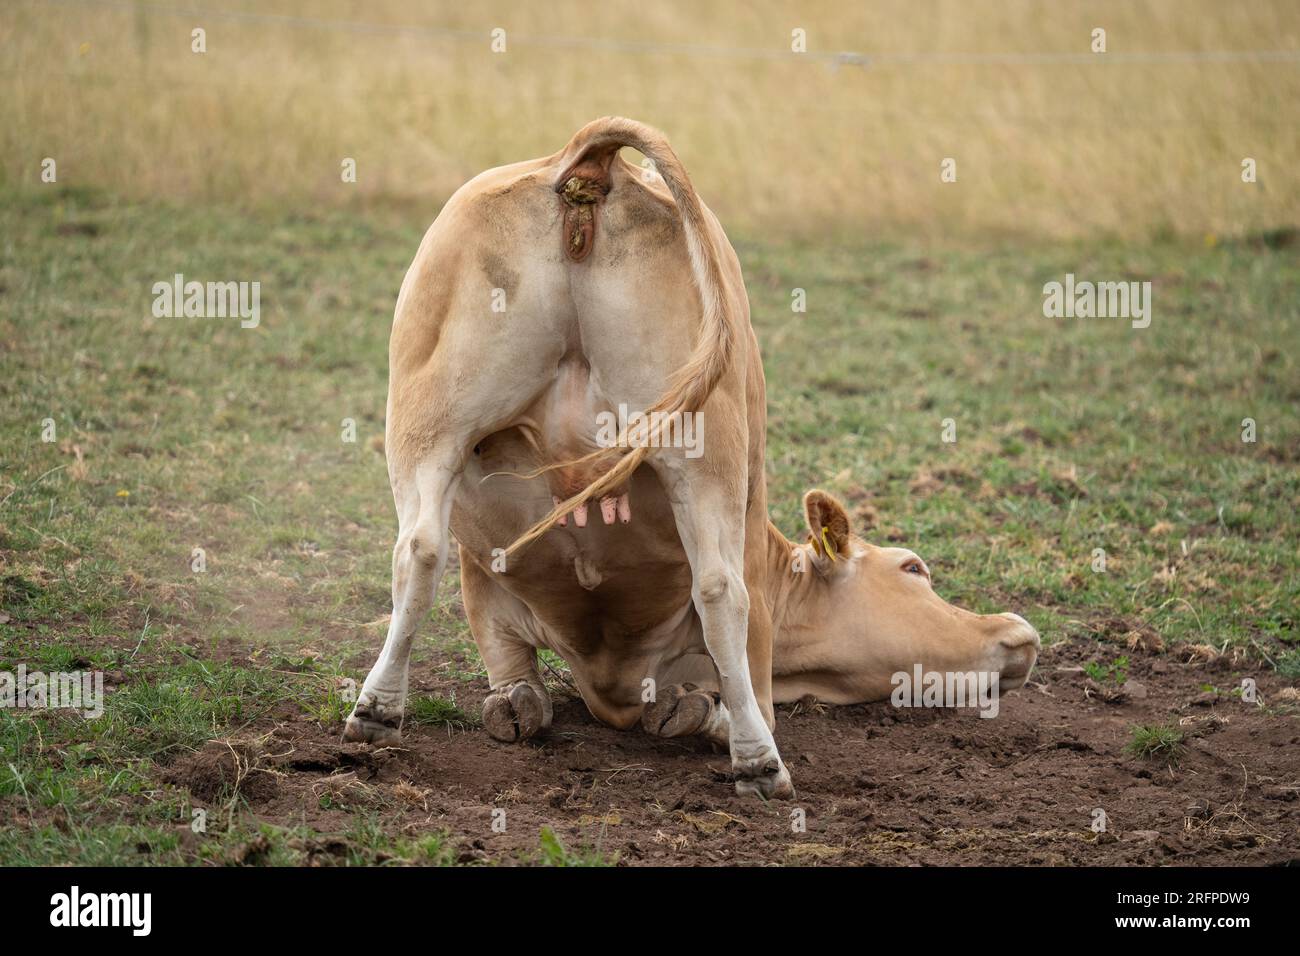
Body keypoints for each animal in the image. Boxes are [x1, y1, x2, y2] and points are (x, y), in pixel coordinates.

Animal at [344, 117, 1040, 799]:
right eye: (913, 568)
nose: (1019, 632)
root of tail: (587, 163)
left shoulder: (488, 590)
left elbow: (517, 689)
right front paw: (715, 718)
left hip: (431, 423)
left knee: (420, 549)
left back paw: (375, 711)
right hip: (708, 450)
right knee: (721, 590)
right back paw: (758, 760)